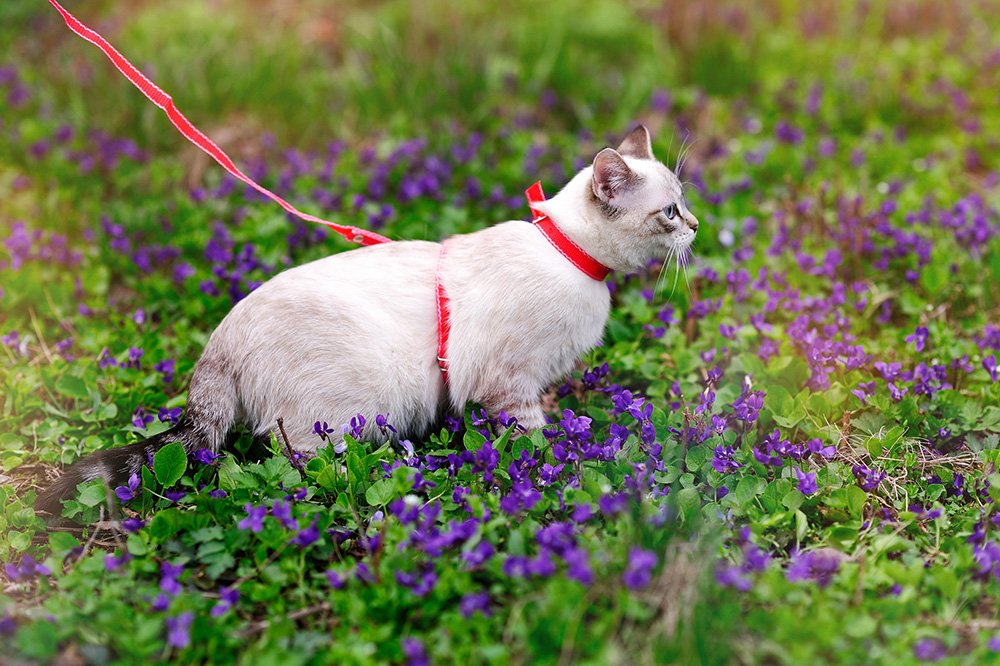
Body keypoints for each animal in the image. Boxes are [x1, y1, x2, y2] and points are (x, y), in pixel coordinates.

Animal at [37, 126, 696, 520]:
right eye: (668, 212)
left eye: (684, 202)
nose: (696, 226)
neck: (573, 257)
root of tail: (217, 348)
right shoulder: (509, 383)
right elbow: (532, 440)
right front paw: (556, 472)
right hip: (351, 406)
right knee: (296, 463)